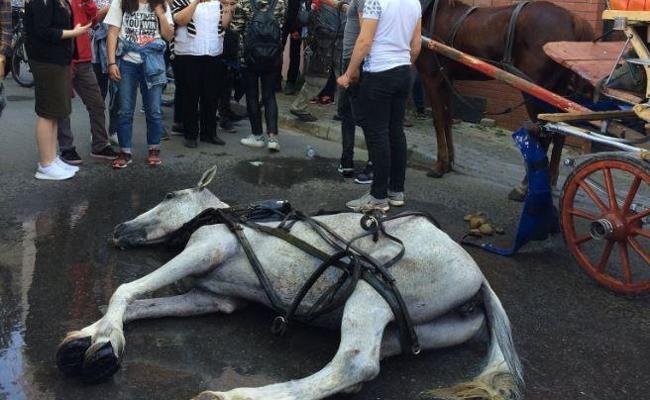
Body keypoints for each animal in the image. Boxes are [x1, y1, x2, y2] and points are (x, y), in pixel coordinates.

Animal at [55, 167, 520, 398]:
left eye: (170, 197)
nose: (119, 229)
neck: (231, 220)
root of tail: (479, 280)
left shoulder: (203, 252)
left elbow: (125, 291)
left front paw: (104, 343)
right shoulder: (212, 298)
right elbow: (137, 305)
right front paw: (89, 339)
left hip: (371, 293)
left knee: (355, 363)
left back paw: (231, 397)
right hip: (419, 328)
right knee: (364, 365)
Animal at [416, 0, 592, 195]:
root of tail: (573, 20)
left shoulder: (431, 77)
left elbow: (438, 121)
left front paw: (439, 166)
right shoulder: (445, 80)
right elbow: (447, 120)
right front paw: (449, 163)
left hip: (535, 91)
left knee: (543, 134)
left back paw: (525, 186)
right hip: (558, 93)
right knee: (558, 134)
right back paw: (551, 180)